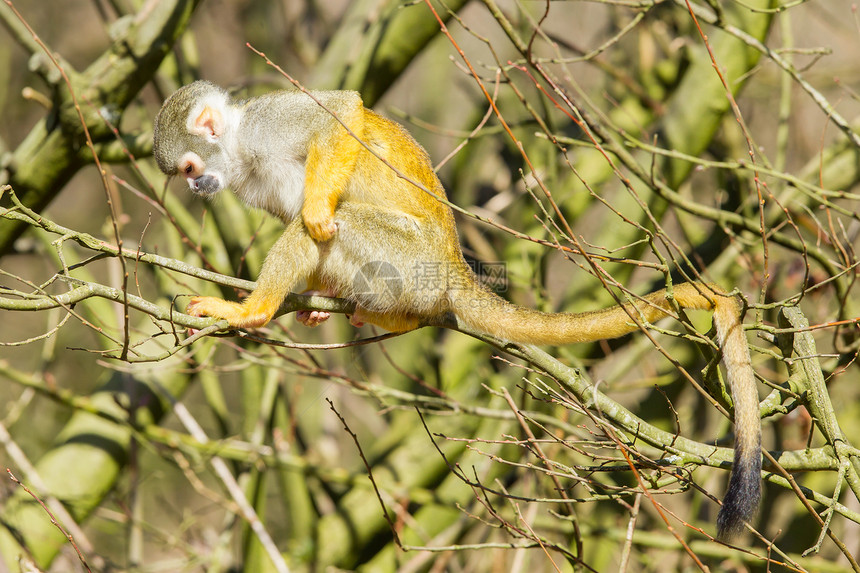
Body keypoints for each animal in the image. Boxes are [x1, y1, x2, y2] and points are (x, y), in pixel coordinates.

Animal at [153, 80, 760, 540]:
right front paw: (310, 307)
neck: (239, 150)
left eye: (190, 168)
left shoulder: (266, 124)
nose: (198, 189)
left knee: (335, 221)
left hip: (409, 253)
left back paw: (254, 309)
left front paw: (315, 216)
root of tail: (451, 266)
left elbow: (341, 114)